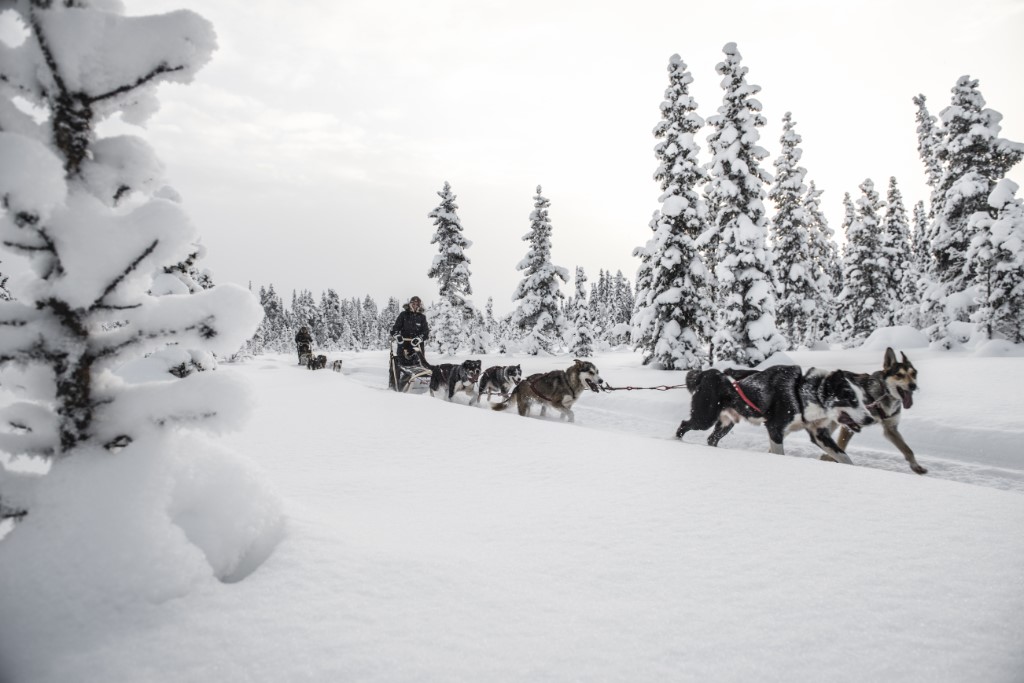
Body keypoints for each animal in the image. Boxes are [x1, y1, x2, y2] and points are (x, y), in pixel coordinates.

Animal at [675, 362, 876, 464]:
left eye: (862, 398)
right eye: (851, 399)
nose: (870, 419)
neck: (801, 391)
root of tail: (705, 374)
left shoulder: (819, 435)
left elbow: (844, 457)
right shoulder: (775, 428)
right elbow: (779, 454)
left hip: (726, 423)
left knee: (711, 439)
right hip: (704, 419)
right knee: (684, 425)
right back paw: (676, 442)